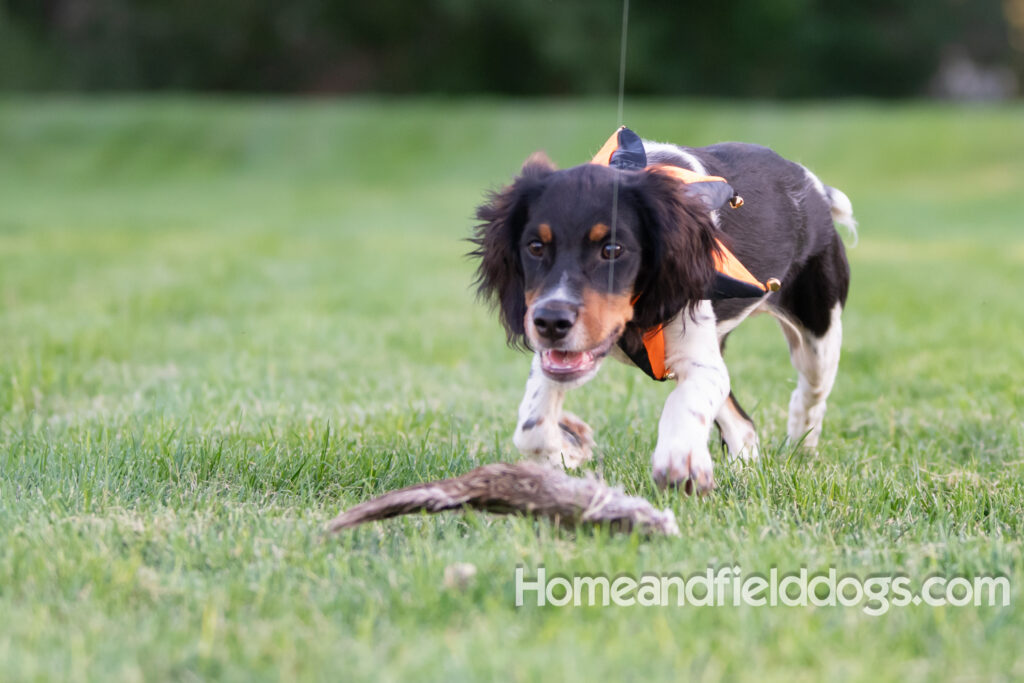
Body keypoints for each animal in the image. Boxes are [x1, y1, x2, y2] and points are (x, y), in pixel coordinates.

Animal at [471, 126, 856, 491]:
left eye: (613, 250)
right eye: (535, 247)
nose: (551, 322)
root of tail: (814, 186)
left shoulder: (698, 355)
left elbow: (684, 402)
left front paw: (680, 459)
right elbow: (531, 423)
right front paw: (570, 449)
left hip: (819, 331)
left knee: (810, 393)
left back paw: (801, 447)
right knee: (743, 425)